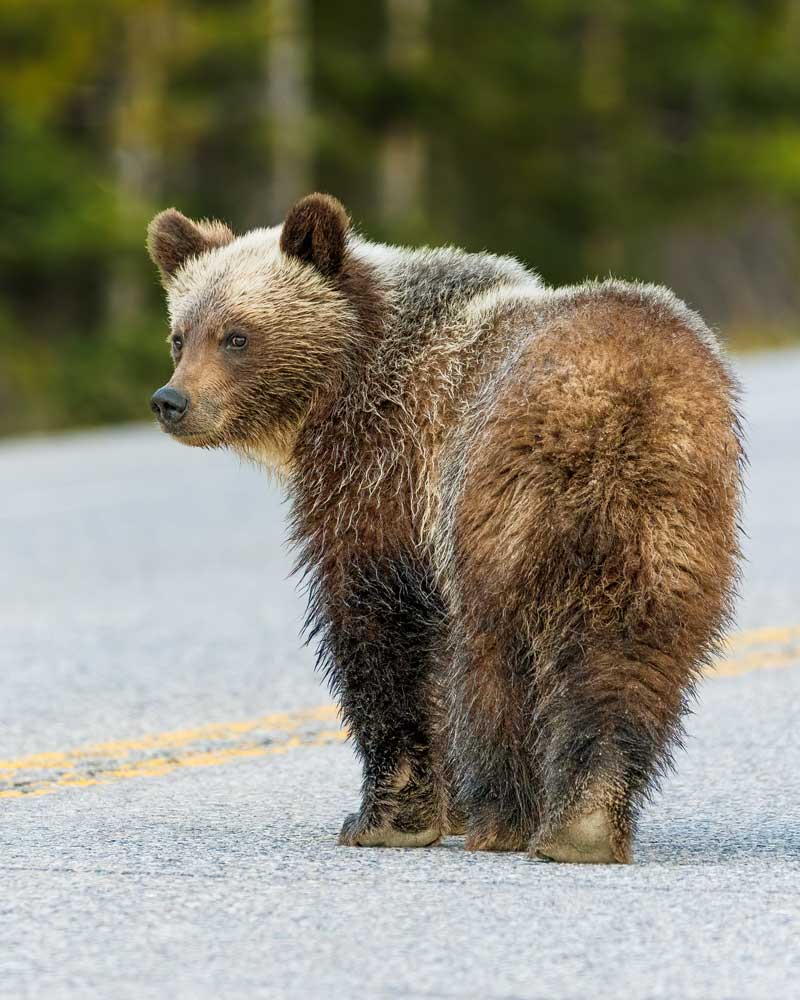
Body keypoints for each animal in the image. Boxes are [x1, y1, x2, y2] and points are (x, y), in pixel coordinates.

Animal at [147, 193, 743, 863]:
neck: (347, 385)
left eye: (237, 336)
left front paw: (384, 816)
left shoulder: (389, 477)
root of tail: (618, 406)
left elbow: (382, 632)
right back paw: (585, 825)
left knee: (495, 654)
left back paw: (503, 820)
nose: (172, 402)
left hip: (501, 501)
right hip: (670, 525)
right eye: (180, 335)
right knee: (636, 654)